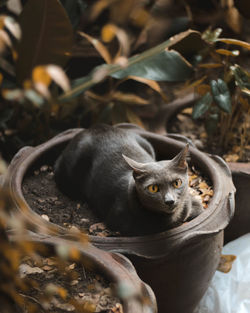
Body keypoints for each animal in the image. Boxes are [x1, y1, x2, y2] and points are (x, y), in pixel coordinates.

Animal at [54, 123, 203, 234]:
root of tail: (92, 127)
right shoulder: (119, 221)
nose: (170, 201)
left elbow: (197, 208)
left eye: (177, 183)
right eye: (153, 188)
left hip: (146, 142)